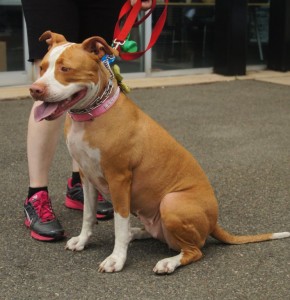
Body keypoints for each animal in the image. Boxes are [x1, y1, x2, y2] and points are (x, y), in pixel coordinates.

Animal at [30, 31, 290, 274]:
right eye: (42, 68)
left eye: (65, 69)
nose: (34, 89)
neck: (91, 114)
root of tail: (213, 223)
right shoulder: (86, 176)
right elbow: (87, 215)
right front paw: (83, 241)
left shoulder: (119, 179)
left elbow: (119, 223)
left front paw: (117, 259)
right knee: (159, 234)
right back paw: (136, 233)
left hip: (171, 202)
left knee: (194, 250)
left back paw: (168, 262)